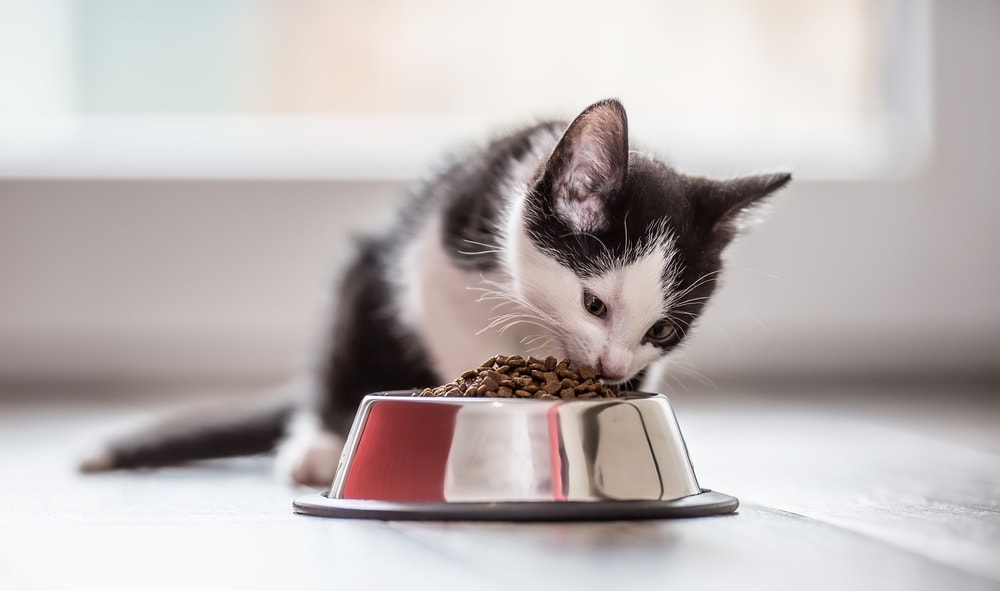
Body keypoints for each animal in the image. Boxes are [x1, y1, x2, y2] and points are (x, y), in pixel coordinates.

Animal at [80, 98, 788, 486]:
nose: (612, 368)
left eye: (662, 330)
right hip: (364, 277)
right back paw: (319, 445)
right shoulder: (432, 260)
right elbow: (454, 336)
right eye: (593, 304)